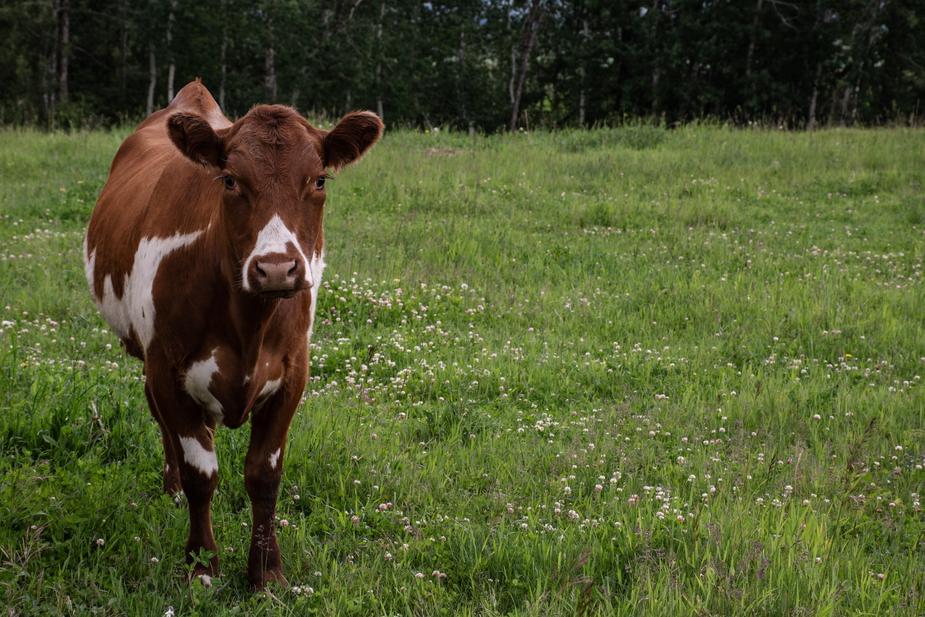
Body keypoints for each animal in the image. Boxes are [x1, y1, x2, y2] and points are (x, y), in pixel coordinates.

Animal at [82, 82, 378, 588]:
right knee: (161, 422)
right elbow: (201, 472)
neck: (248, 322)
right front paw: (202, 565)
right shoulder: (168, 370)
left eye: (319, 180)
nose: (276, 267)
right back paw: (171, 488)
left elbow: (264, 475)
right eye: (230, 180)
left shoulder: (293, 374)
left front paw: (266, 573)